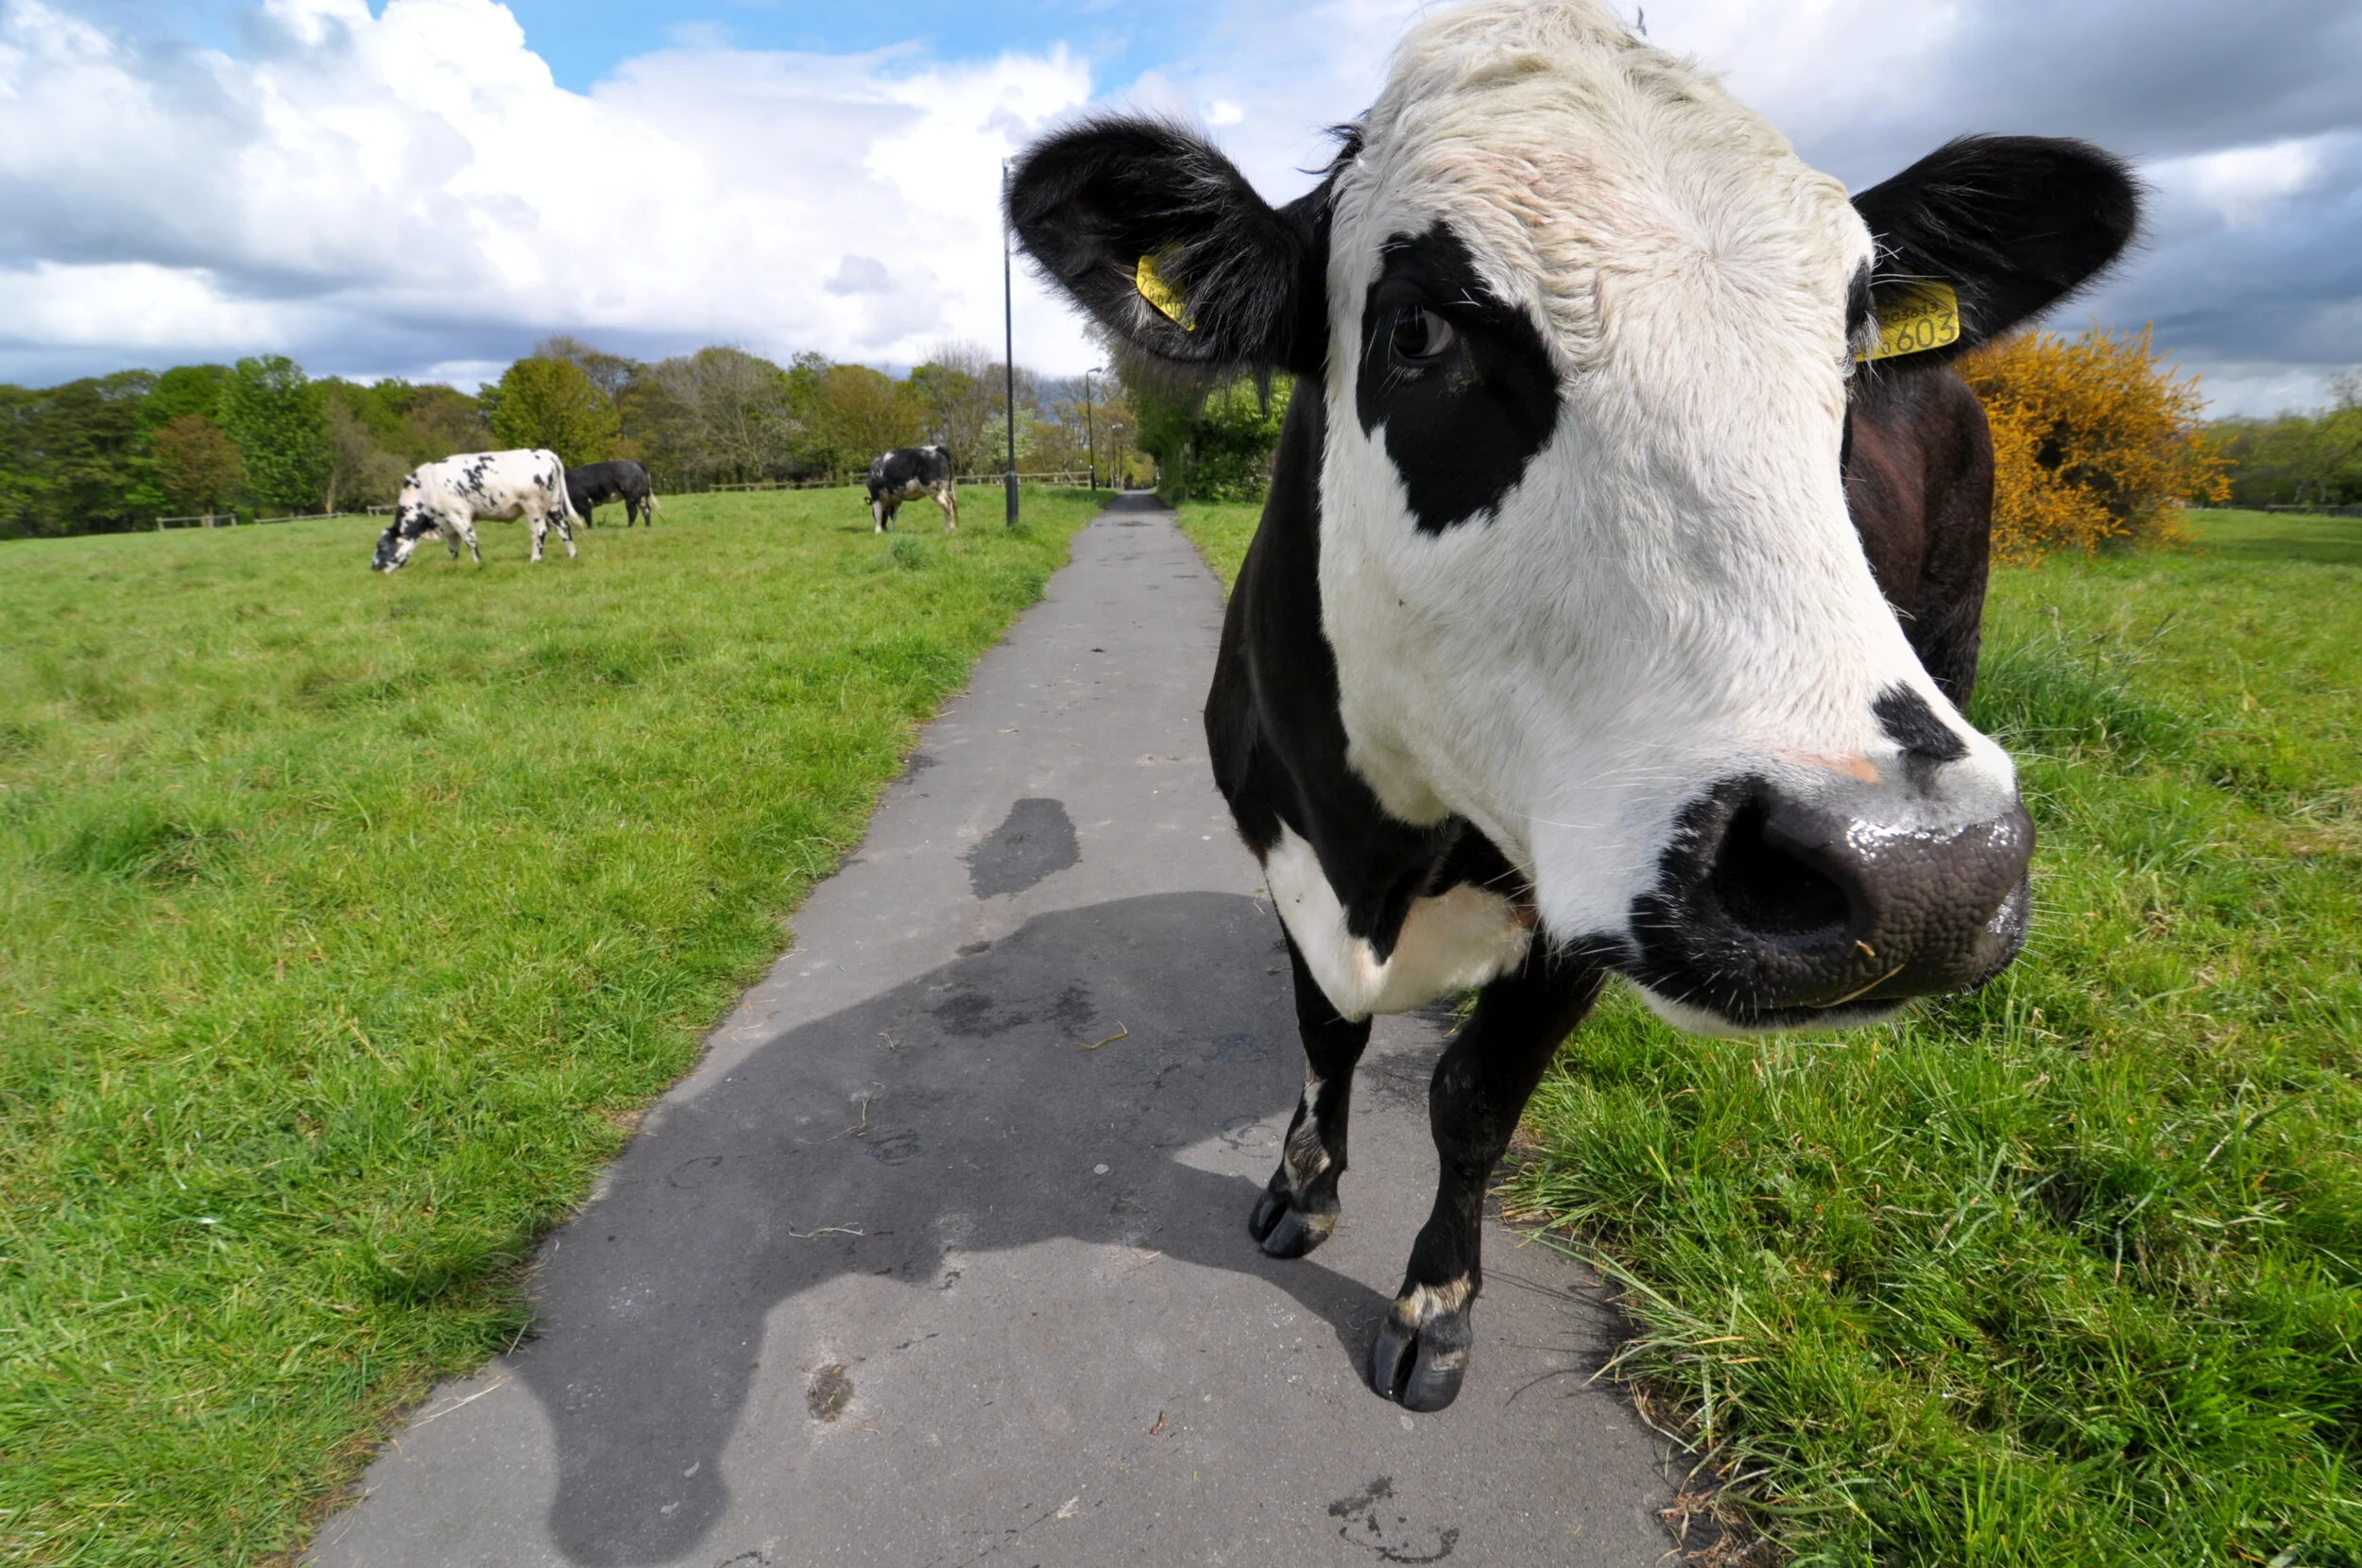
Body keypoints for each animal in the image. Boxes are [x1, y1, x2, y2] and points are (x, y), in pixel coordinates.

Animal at [371, 449, 581, 572]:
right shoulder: (446, 523)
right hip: (553, 505)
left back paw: (535, 559)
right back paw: (572, 555)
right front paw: (453, 564)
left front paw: (478, 563)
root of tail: (545, 453)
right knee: (563, 527)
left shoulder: (458, 514)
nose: (373, 567)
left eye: (381, 547)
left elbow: (469, 539)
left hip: (533, 506)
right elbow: (453, 546)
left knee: (539, 532)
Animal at [1008, 0, 2135, 1412]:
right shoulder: (1279, 848)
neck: (1373, 838)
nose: (1919, 870)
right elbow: (1322, 1033)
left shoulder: (1572, 903)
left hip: (1953, 642)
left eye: (1848, 346)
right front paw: (1302, 1190)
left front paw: (1436, 1304)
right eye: (1418, 330)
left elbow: (1473, 1099)